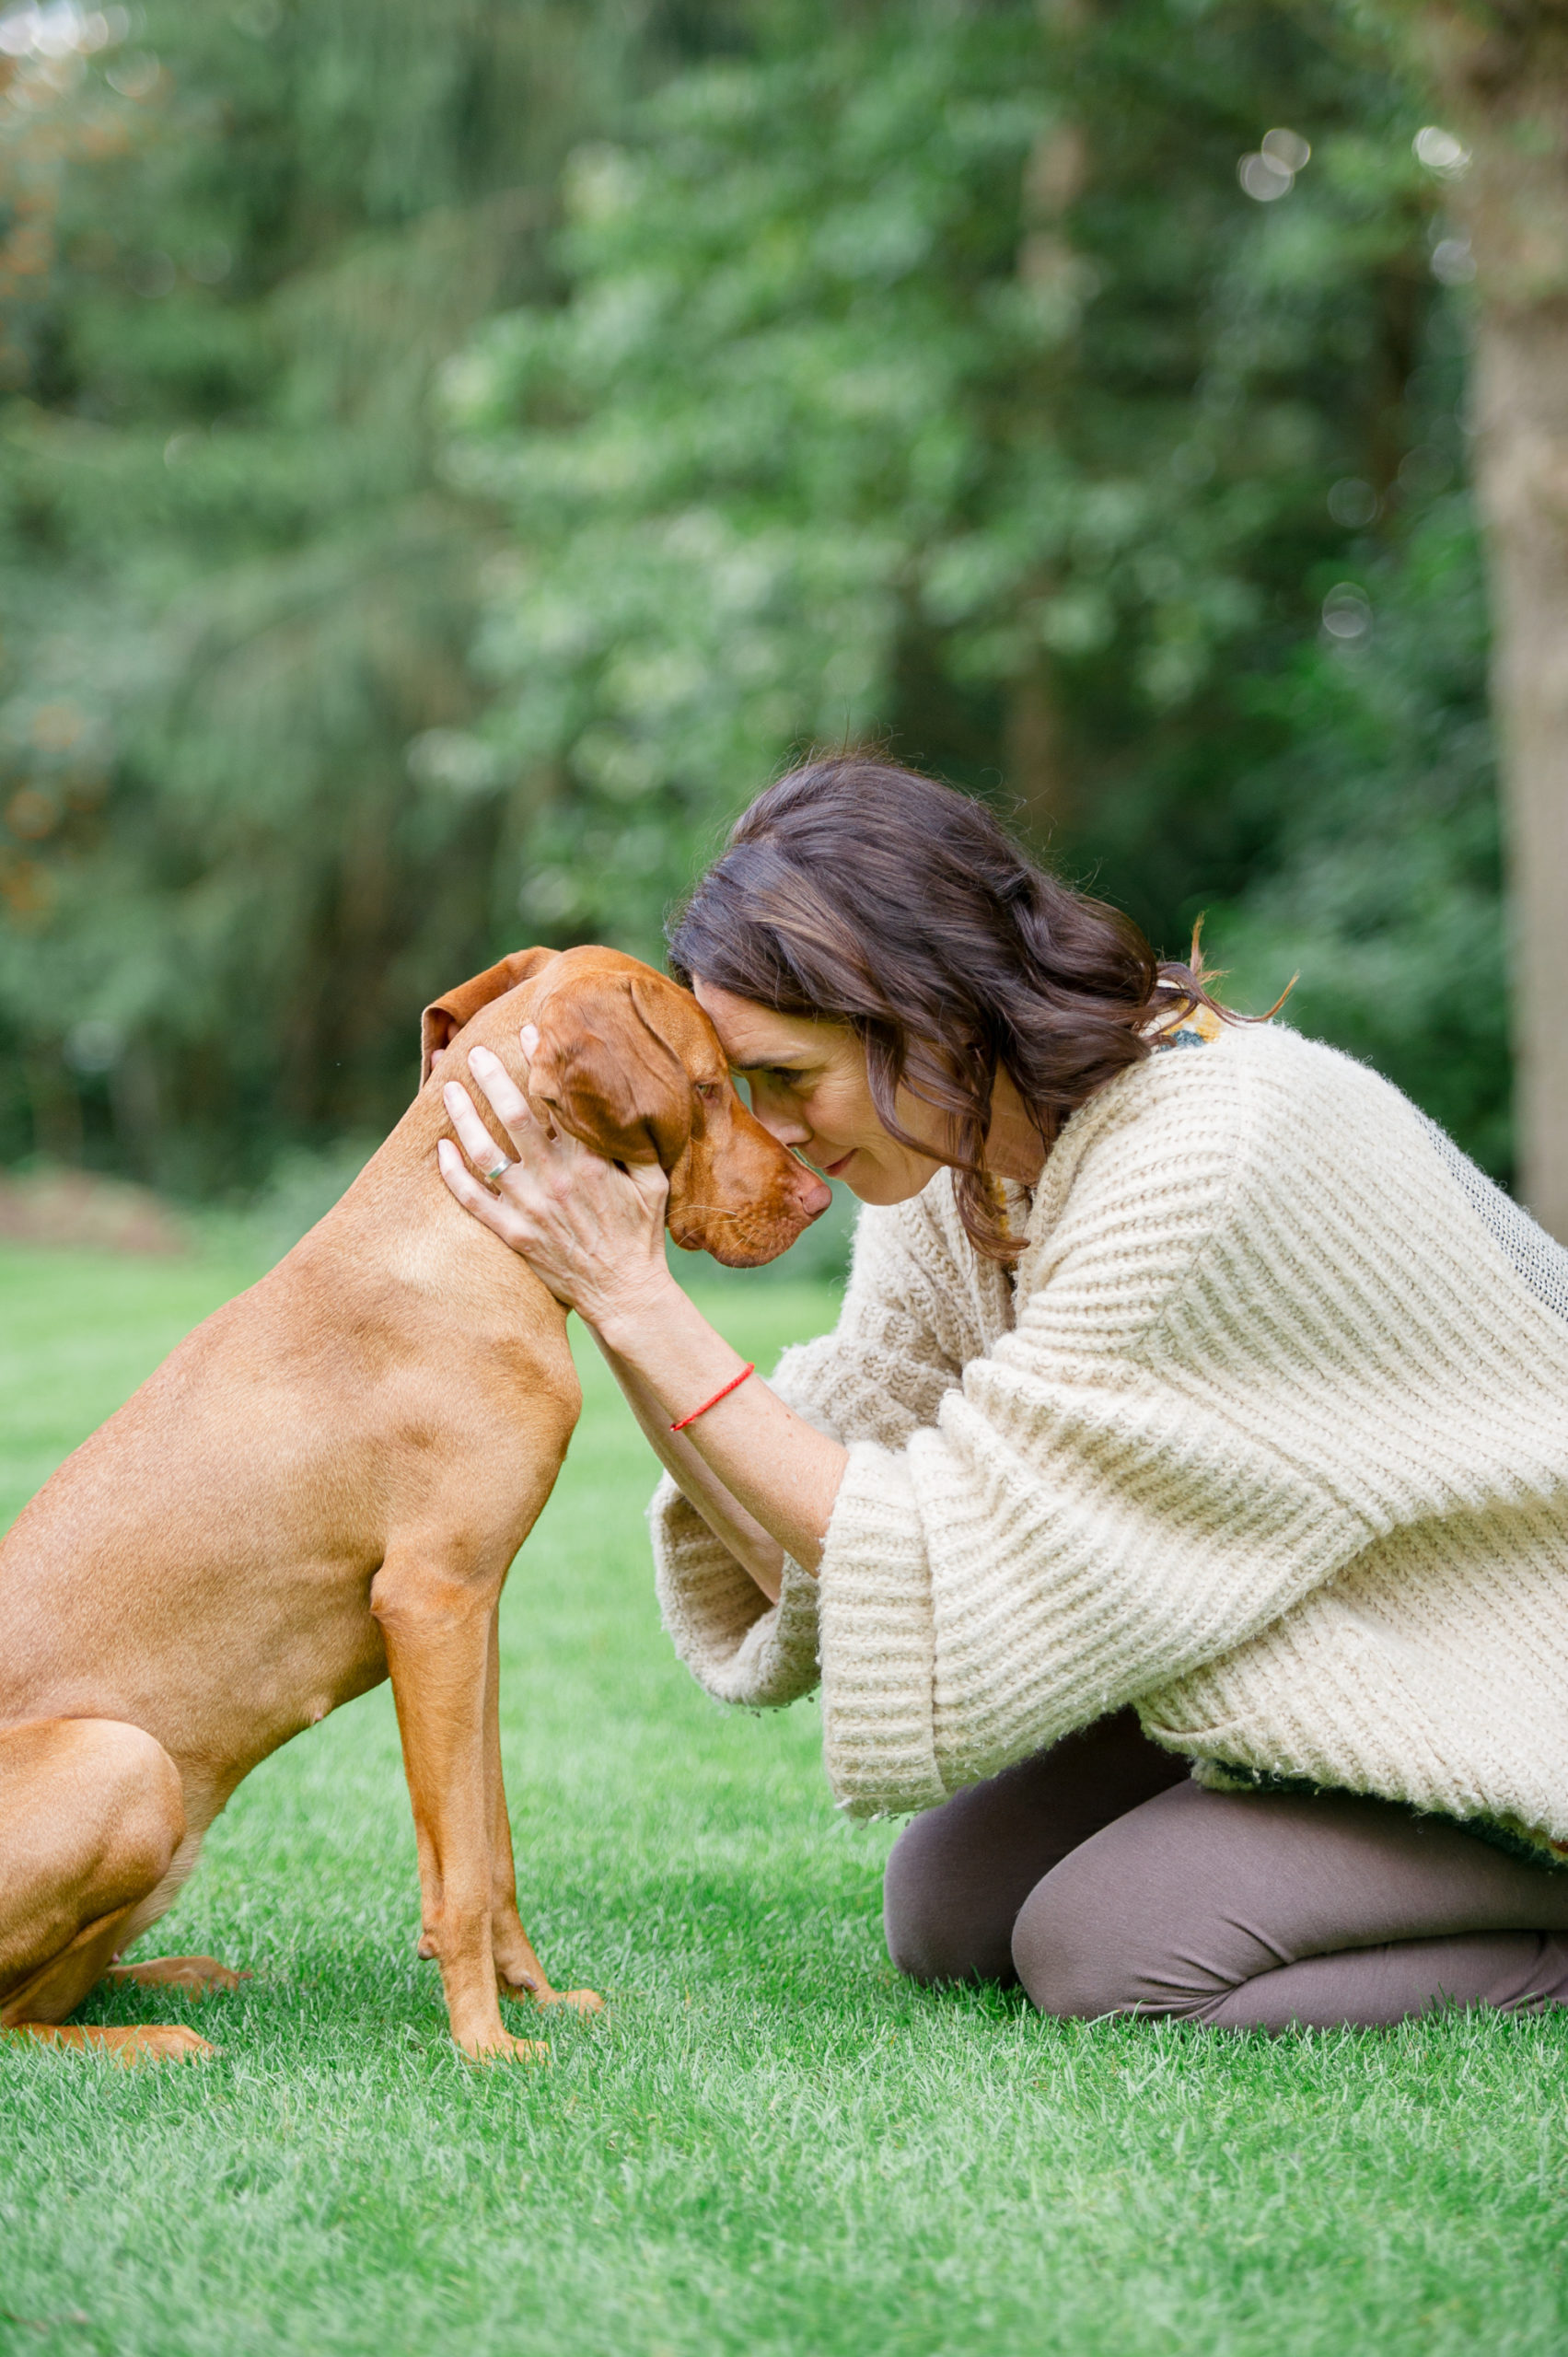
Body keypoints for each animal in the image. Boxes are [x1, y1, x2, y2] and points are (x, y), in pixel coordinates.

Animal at [0, 947, 825, 2055]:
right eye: (705, 1087)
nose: (818, 1198)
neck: (457, 1244)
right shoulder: (432, 1605)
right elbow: (464, 1870)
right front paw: (486, 2046)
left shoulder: (474, 1617)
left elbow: (492, 1844)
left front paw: (535, 1999)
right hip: (124, 1762)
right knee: (17, 2017)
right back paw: (150, 2039)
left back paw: (175, 1978)